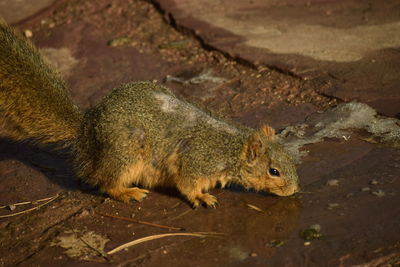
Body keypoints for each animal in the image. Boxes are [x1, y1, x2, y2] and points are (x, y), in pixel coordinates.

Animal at [0, 22, 300, 208]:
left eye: (290, 159)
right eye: (274, 171)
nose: (295, 190)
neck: (231, 146)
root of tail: (86, 129)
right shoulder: (195, 161)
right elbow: (187, 183)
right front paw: (202, 198)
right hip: (125, 153)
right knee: (106, 182)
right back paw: (128, 192)